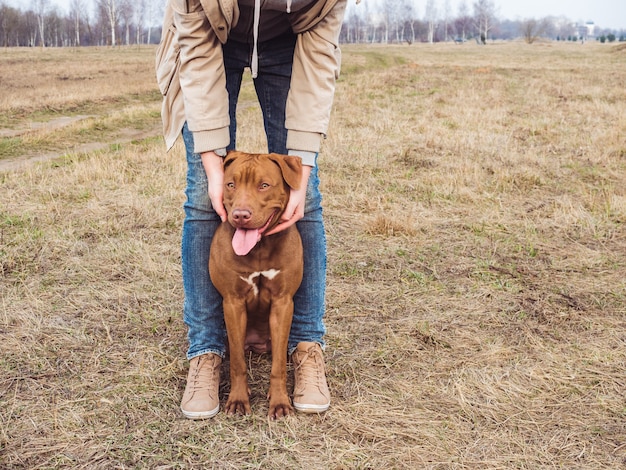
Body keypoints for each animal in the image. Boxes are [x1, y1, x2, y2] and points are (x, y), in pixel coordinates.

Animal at [208, 151, 304, 418]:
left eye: (264, 185)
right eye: (231, 184)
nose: (241, 215)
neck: (259, 247)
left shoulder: (282, 304)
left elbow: (278, 365)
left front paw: (280, 402)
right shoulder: (233, 303)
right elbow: (238, 363)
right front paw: (238, 399)